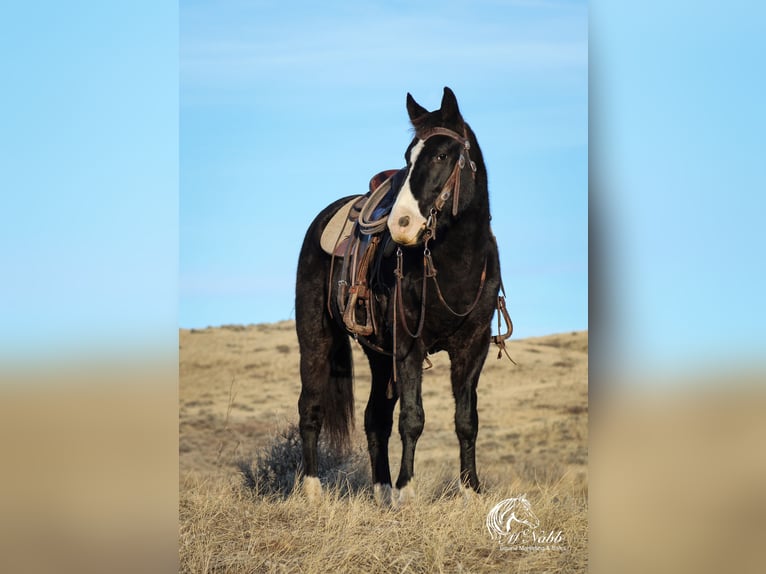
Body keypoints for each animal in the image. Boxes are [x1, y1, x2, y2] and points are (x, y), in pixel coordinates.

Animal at [294, 88, 504, 506]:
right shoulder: (410, 344)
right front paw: (407, 489)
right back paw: (312, 490)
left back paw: (382, 492)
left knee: (375, 418)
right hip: (315, 339)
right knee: (310, 407)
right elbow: (413, 417)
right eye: (408, 157)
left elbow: (466, 420)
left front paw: (470, 490)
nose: (401, 224)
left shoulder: (473, 345)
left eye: (441, 155)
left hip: (379, 355)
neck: (456, 263)